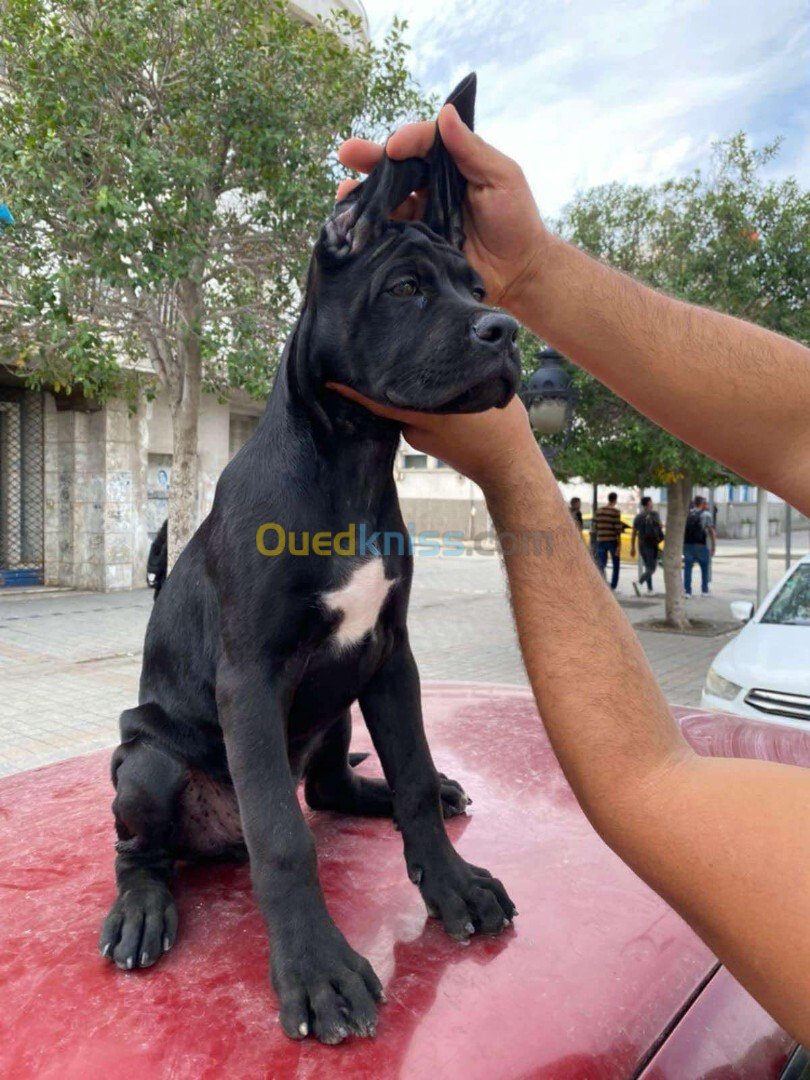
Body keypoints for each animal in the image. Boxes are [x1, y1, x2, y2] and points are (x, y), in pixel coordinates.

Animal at [99, 71, 520, 1041]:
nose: (506, 330)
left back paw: (404, 793)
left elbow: (409, 772)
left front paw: (451, 886)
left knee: (328, 790)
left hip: (335, 707)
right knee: (152, 846)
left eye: (476, 284)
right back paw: (143, 909)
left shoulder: (390, 654)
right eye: (404, 287)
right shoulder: (251, 673)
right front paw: (317, 973)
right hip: (146, 762)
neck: (352, 458)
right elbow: (283, 842)